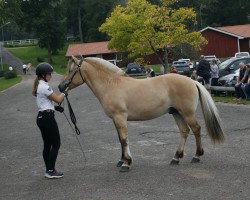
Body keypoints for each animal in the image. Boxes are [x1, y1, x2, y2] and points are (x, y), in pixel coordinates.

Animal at [58, 55, 225, 172]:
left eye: (71, 70)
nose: (60, 87)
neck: (111, 85)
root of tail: (192, 81)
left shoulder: (120, 117)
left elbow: (124, 139)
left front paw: (126, 163)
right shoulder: (115, 120)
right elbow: (120, 140)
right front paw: (121, 160)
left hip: (187, 113)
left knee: (196, 129)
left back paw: (197, 155)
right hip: (176, 113)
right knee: (184, 131)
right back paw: (176, 158)